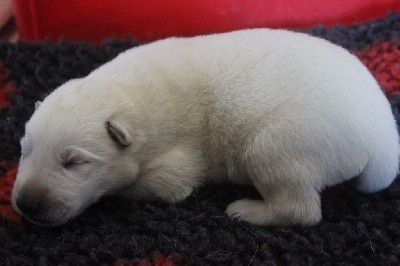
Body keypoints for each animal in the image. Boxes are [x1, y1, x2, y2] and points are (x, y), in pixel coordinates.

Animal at [10, 30, 398, 228]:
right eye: (24, 151)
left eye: (75, 163)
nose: (26, 204)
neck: (126, 95)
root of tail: (384, 137)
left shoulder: (172, 167)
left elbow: (147, 186)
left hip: (277, 145)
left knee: (299, 209)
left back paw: (247, 210)